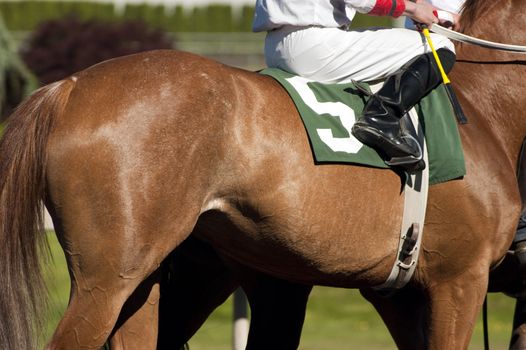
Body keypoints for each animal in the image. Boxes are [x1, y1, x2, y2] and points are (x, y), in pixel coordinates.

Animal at [0, 1, 524, 348]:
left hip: (149, 278)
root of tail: (68, 87)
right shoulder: (459, 279)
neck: (482, 107)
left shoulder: (400, 292)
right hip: (107, 279)